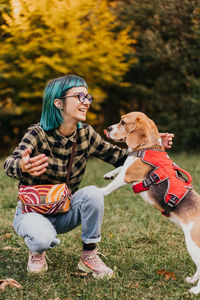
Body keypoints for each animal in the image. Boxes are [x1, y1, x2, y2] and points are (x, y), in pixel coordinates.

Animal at [101, 111, 200, 294]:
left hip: (193, 245)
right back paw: (191, 280)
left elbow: (112, 185)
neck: (148, 147)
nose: (108, 128)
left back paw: (196, 290)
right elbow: (120, 167)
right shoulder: (127, 167)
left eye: (123, 122)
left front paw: (99, 191)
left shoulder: (127, 175)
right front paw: (109, 174)